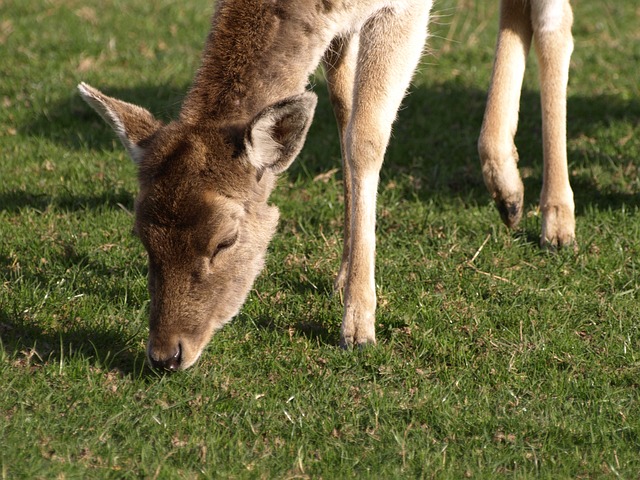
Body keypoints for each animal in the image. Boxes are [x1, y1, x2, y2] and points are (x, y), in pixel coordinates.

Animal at [79, 0, 576, 372]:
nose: (165, 355)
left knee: (556, 23)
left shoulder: (404, 8)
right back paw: (507, 191)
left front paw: (358, 326)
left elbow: (365, 136)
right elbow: (342, 109)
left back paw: (556, 223)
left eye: (225, 240)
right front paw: (342, 275)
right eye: (142, 236)